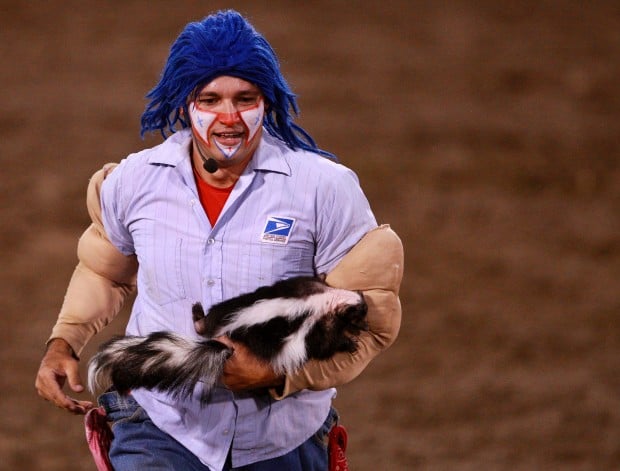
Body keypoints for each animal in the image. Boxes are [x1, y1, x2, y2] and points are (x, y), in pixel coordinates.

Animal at [88, 276, 368, 402]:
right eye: (359, 313)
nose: (366, 320)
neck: (326, 299)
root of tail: (224, 335)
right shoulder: (312, 327)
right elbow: (323, 344)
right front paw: (349, 342)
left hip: (228, 306)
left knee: (208, 320)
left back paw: (199, 319)